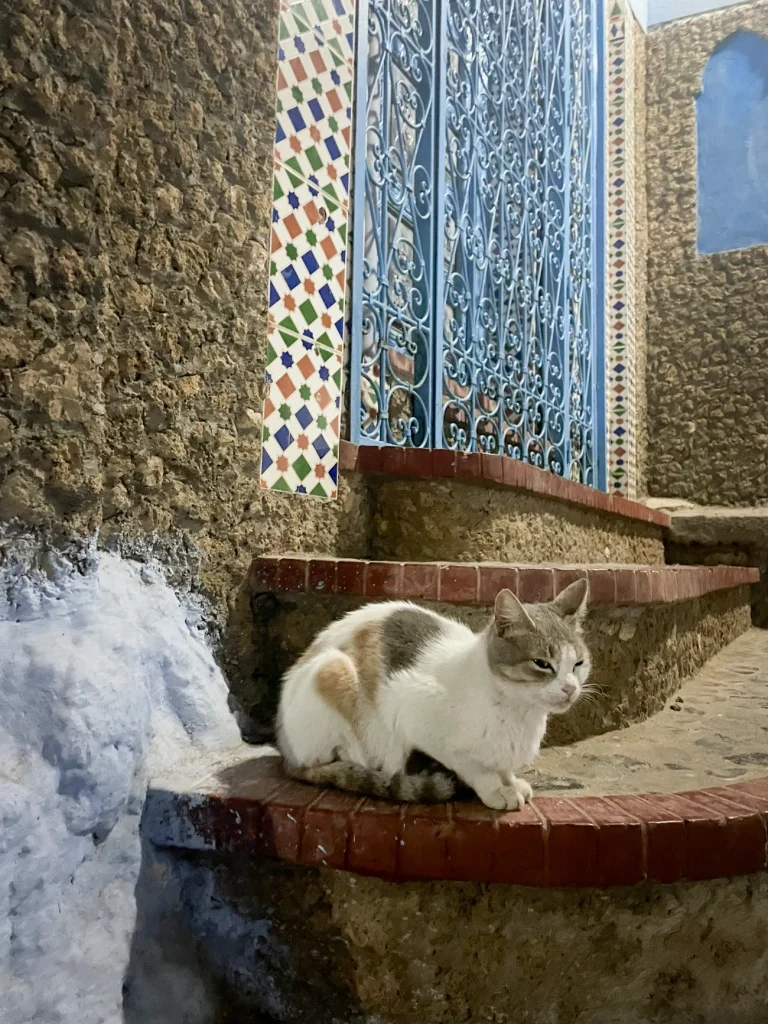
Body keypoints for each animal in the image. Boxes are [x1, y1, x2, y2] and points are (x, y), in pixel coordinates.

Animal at [274, 581, 589, 811]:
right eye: (542, 664)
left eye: (578, 664)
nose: (570, 688)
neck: (519, 713)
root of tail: (284, 750)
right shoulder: (411, 712)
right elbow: (472, 765)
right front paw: (496, 789)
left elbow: (500, 765)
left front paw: (510, 782)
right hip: (333, 670)